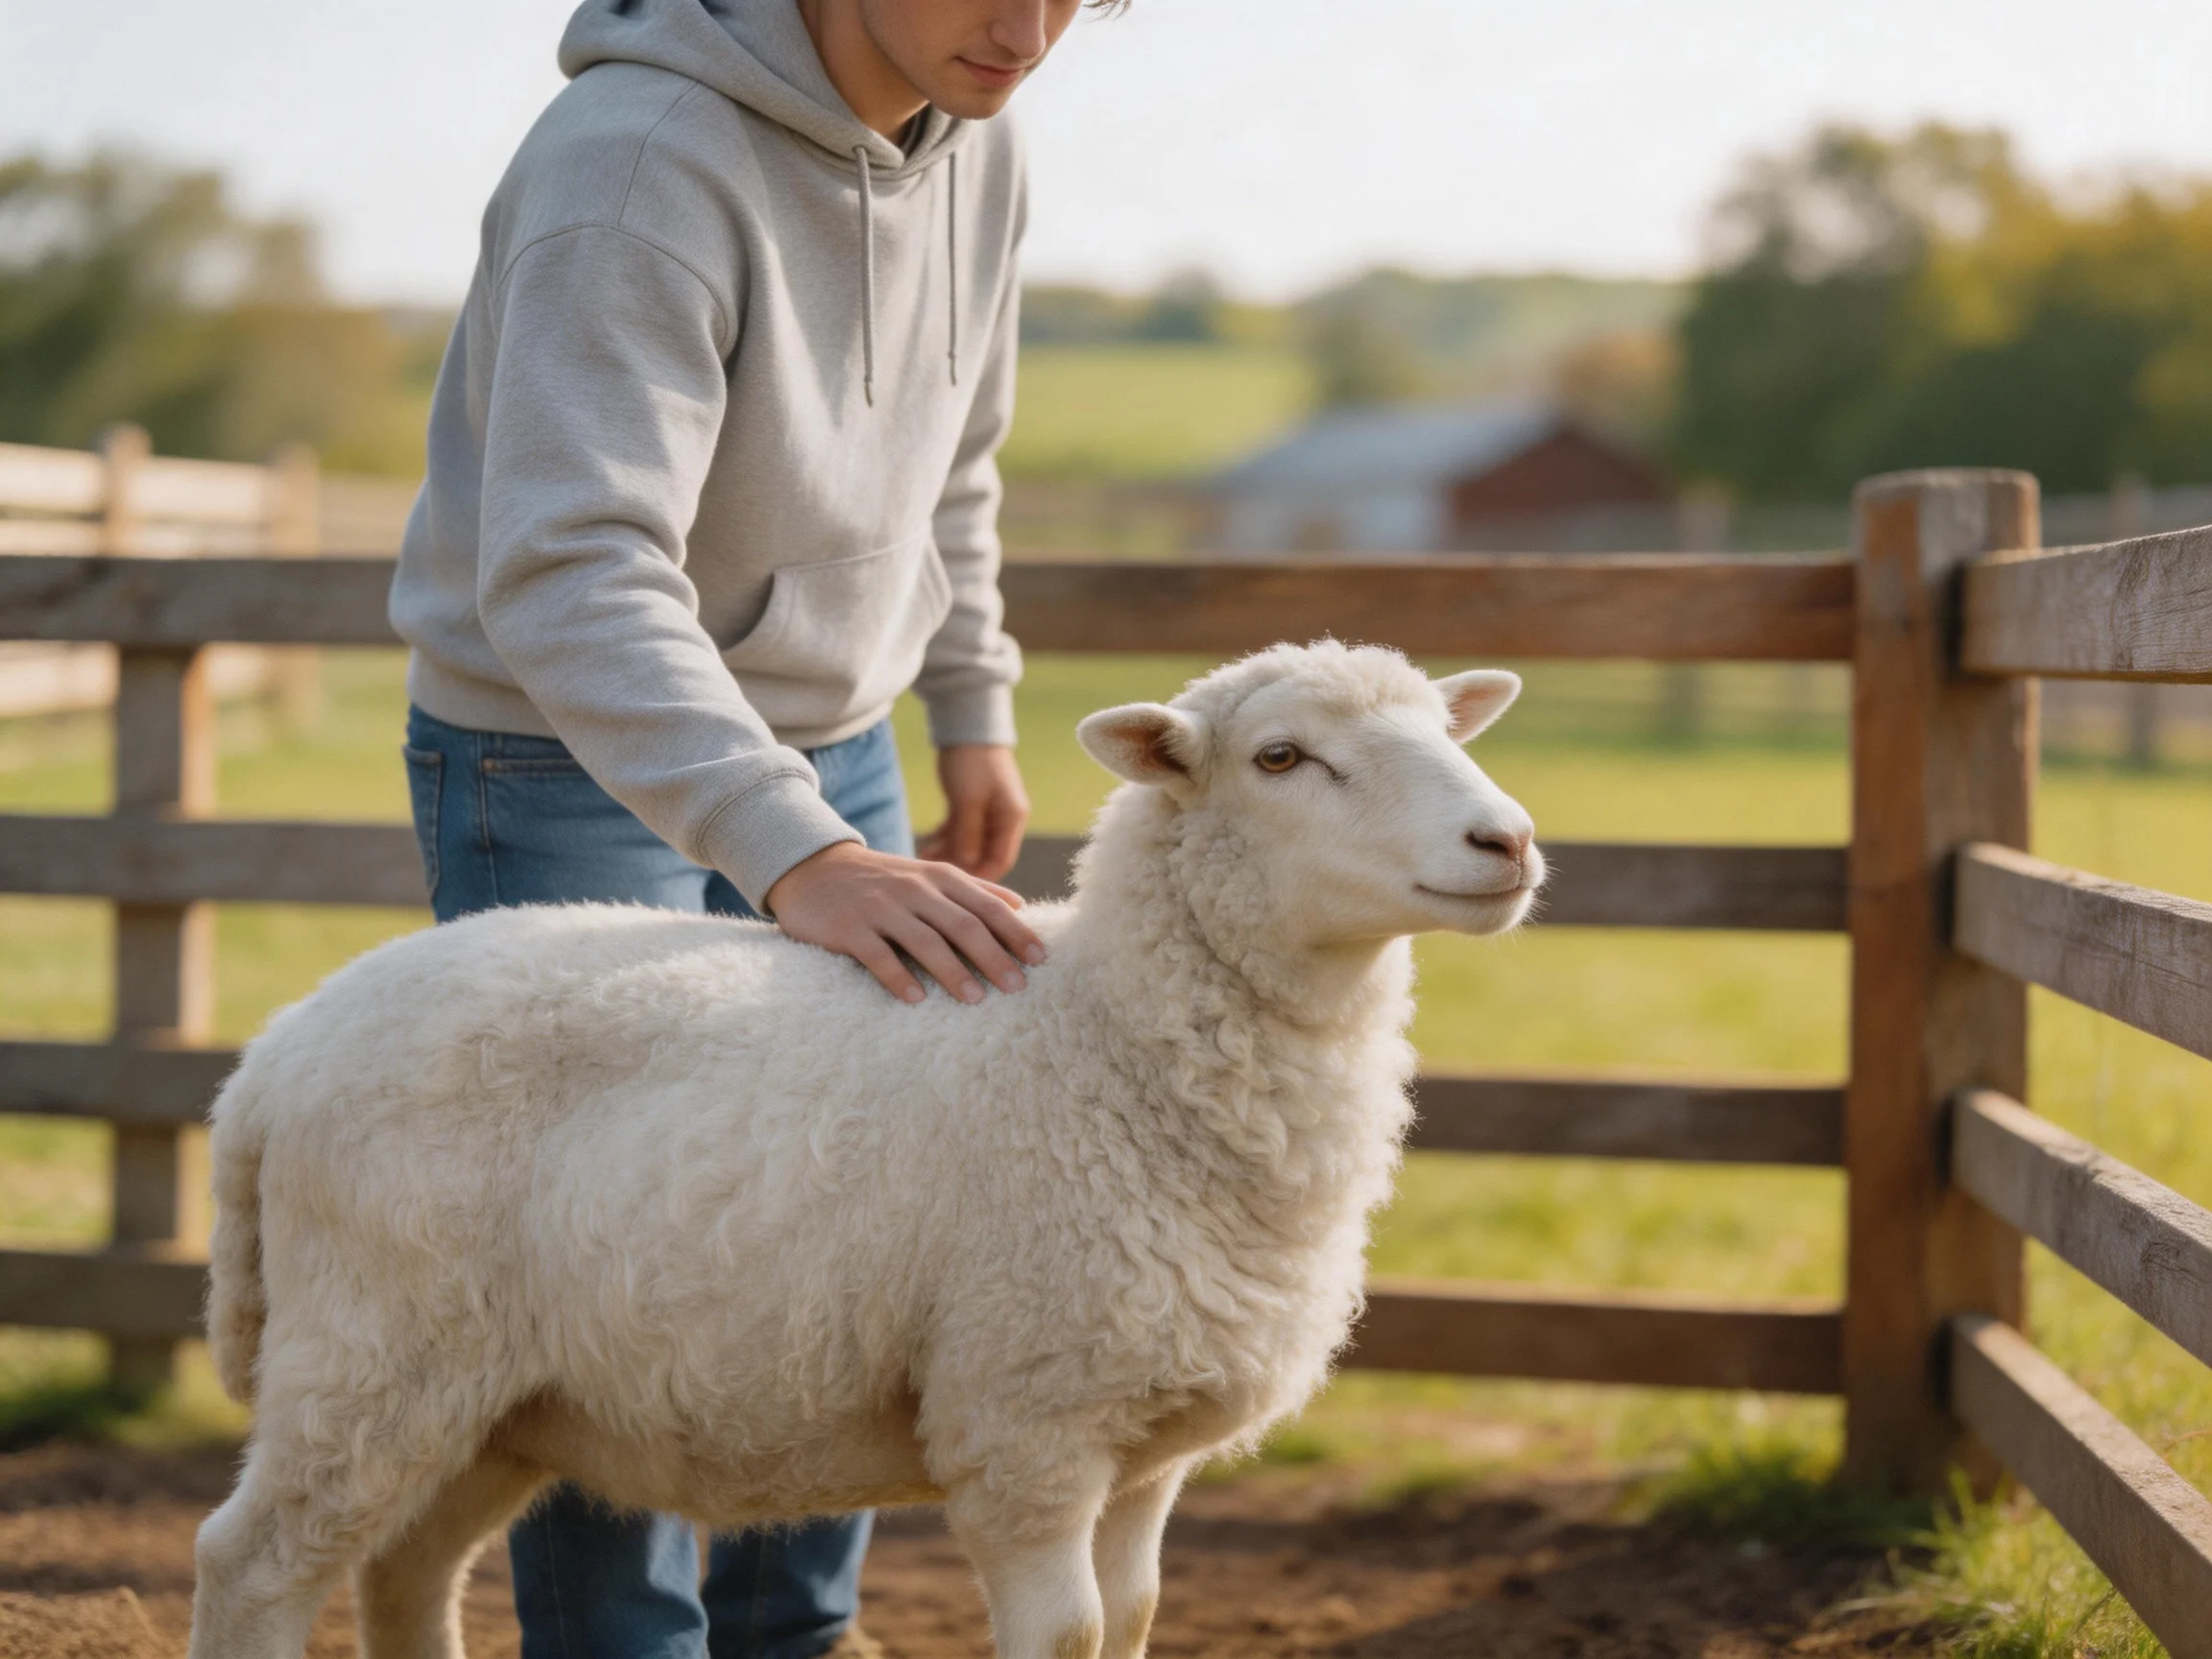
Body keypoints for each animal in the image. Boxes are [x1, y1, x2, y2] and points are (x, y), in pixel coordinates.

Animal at [188, 640, 1544, 1659]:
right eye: (1280, 758)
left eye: (1448, 728)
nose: (1509, 842)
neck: (1101, 1042)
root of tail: (274, 1055)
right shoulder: (1025, 1418)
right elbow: (1069, 1633)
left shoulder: (1150, 1438)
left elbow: (1135, 1621)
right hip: (372, 1349)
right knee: (251, 1566)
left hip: (492, 1397)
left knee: (404, 1571)